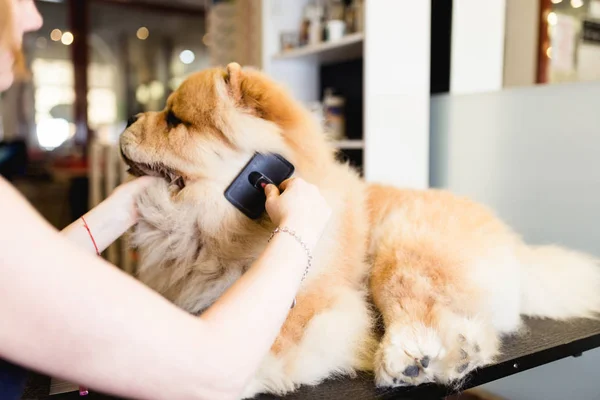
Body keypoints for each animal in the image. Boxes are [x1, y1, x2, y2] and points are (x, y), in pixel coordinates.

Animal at [120, 62, 600, 396]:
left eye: (174, 120)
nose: (125, 120)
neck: (208, 234)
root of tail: (516, 248)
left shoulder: (309, 304)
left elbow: (259, 349)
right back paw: (459, 355)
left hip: (398, 249)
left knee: (417, 309)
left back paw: (407, 358)